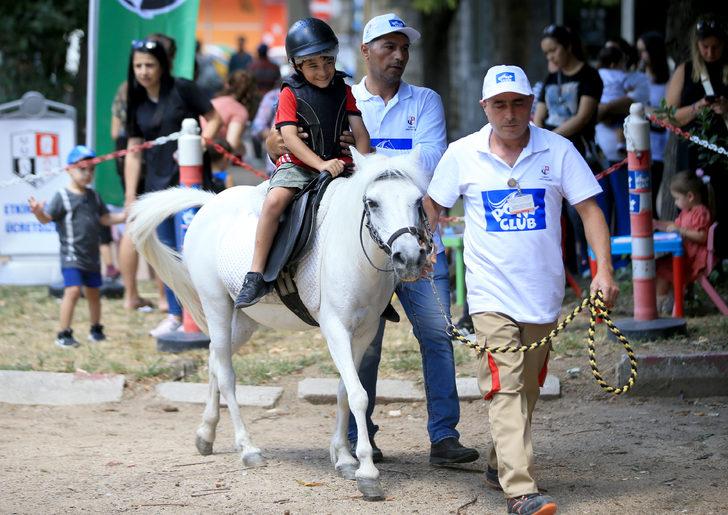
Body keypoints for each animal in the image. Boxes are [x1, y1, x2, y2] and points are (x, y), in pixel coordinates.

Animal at [128, 148, 432, 501]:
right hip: (216, 305)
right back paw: (247, 449)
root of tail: (209, 203)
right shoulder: (335, 329)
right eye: (372, 202)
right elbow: (358, 395)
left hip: (242, 323)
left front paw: (344, 458)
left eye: (417, 200)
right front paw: (367, 473)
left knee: (215, 360)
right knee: (227, 375)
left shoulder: (364, 332)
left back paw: (206, 434)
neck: (351, 250)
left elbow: (345, 391)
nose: (409, 258)